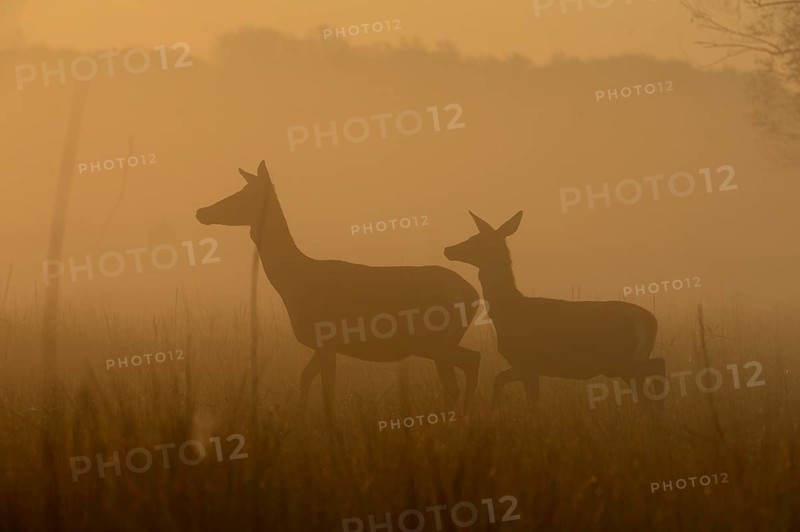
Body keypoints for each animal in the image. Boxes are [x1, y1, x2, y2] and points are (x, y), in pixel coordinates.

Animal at [196, 161, 481, 419]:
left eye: (243, 194)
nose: (201, 211)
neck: (294, 284)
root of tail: (473, 296)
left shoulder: (327, 339)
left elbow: (327, 391)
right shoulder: (321, 343)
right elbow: (305, 378)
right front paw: (302, 419)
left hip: (435, 339)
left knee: (455, 380)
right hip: (439, 342)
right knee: (473, 360)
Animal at [444, 211, 664, 406]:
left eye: (475, 239)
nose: (448, 249)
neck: (509, 312)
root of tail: (650, 321)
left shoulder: (529, 362)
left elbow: (530, 401)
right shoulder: (523, 366)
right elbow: (498, 381)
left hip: (619, 359)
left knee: (658, 367)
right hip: (627, 360)